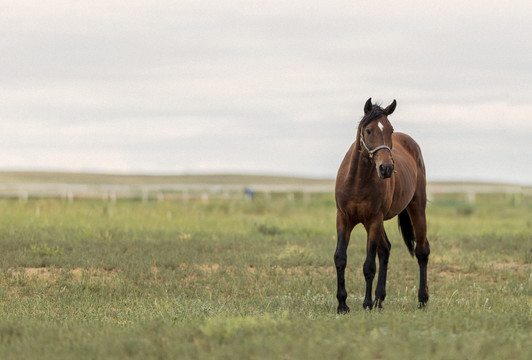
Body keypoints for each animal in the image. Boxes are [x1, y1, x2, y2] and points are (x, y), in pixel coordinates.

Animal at [334, 97, 430, 312]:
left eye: (390, 130)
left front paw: (367, 304)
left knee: (422, 251)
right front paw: (342, 304)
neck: (357, 181)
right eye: (368, 130)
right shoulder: (344, 218)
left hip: (416, 208)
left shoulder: (373, 220)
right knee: (385, 250)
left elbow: (369, 266)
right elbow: (340, 259)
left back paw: (422, 300)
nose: (386, 168)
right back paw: (380, 299)